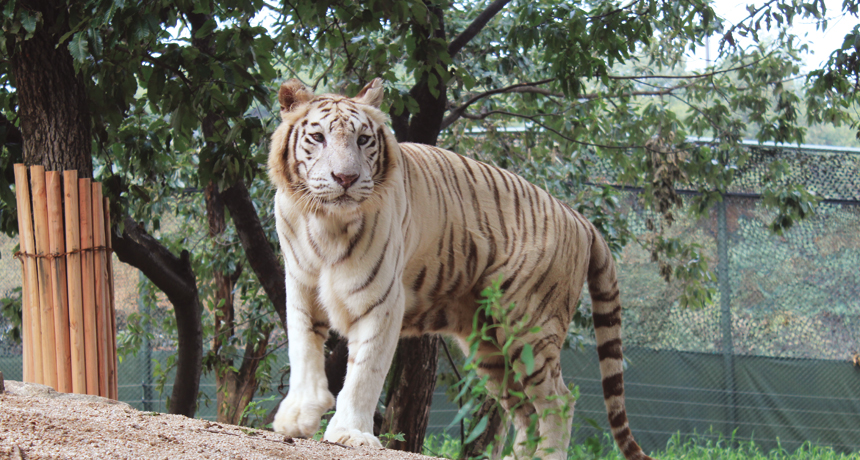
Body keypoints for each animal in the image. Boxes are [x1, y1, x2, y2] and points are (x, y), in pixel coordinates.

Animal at [268, 79, 652, 460]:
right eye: (318, 138)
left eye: (363, 139)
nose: (346, 178)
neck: (324, 223)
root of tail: (579, 217)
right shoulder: (301, 288)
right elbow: (303, 350)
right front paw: (297, 418)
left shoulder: (381, 301)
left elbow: (365, 371)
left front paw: (350, 433)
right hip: (489, 345)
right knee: (525, 409)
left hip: (529, 325)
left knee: (558, 401)